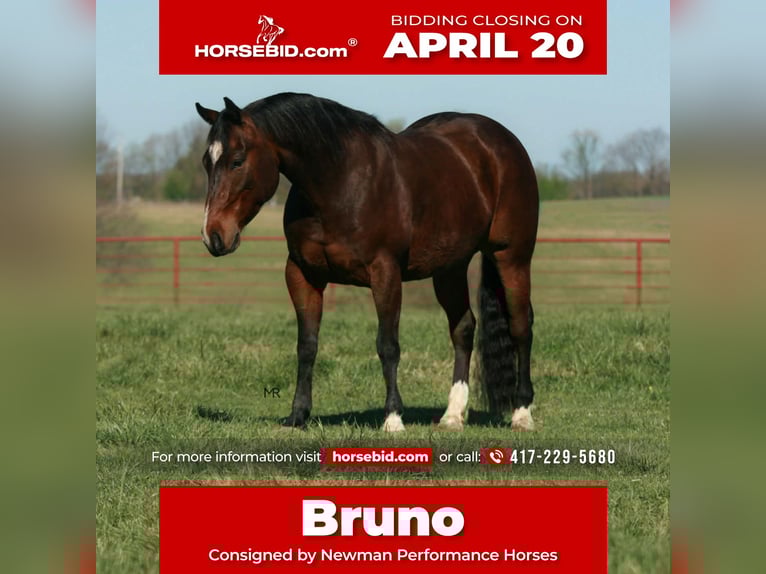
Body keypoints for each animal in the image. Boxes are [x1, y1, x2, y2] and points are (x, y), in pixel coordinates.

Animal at [195, 93, 539, 432]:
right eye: (206, 162)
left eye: (237, 161)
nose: (213, 236)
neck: (338, 183)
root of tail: (502, 141)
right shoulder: (302, 273)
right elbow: (306, 345)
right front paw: (298, 415)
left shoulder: (385, 272)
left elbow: (387, 345)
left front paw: (393, 418)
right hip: (450, 267)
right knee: (464, 328)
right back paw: (453, 415)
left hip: (512, 258)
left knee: (520, 327)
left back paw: (522, 413)